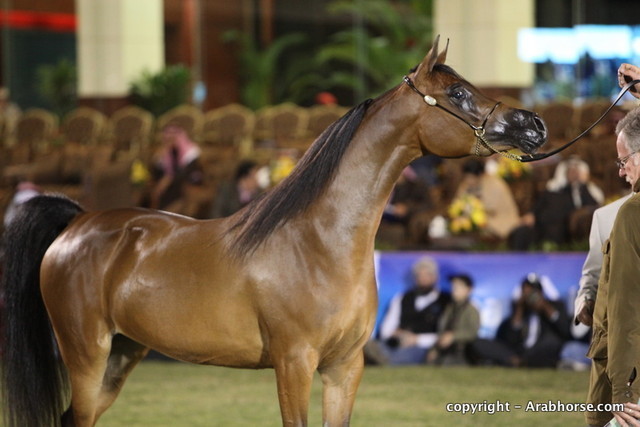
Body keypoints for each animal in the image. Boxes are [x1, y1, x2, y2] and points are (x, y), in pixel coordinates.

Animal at [0, 36, 547, 427]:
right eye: (458, 93)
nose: (534, 126)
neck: (320, 244)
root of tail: (77, 224)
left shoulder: (344, 368)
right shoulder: (294, 362)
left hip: (122, 353)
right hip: (86, 354)